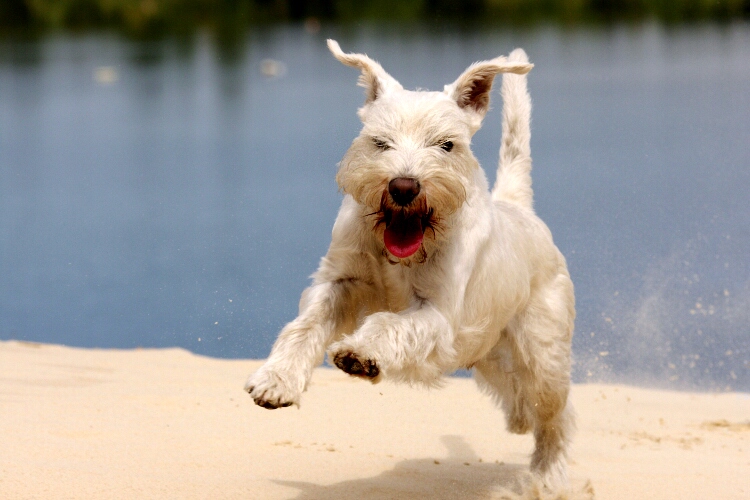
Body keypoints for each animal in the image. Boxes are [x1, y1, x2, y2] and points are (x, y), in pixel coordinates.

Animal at [247, 40, 576, 488]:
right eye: (380, 142)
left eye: (446, 145)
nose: (404, 187)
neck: (401, 255)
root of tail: (520, 208)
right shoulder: (340, 281)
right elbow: (304, 327)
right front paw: (276, 380)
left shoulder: (438, 314)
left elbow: (389, 323)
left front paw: (359, 353)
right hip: (493, 356)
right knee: (524, 404)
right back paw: (522, 428)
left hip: (543, 354)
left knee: (555, 415)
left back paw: (545, 481)